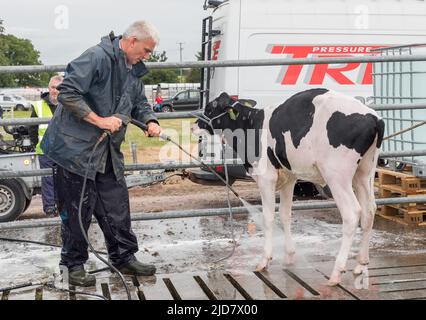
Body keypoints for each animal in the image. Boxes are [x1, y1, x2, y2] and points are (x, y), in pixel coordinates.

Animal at [195, 89, 384, 286]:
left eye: (211, 107)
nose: (195, 125)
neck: (252, 124)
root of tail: (373, 117)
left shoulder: (266, 178)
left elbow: (268, 217)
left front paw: (264, 260)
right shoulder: (290, 177)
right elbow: (285, 214)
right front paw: (289, 255)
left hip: (337, 176)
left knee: (352, 213)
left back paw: (336, 272)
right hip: (364, 173)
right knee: (370, 210)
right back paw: (361, 264)